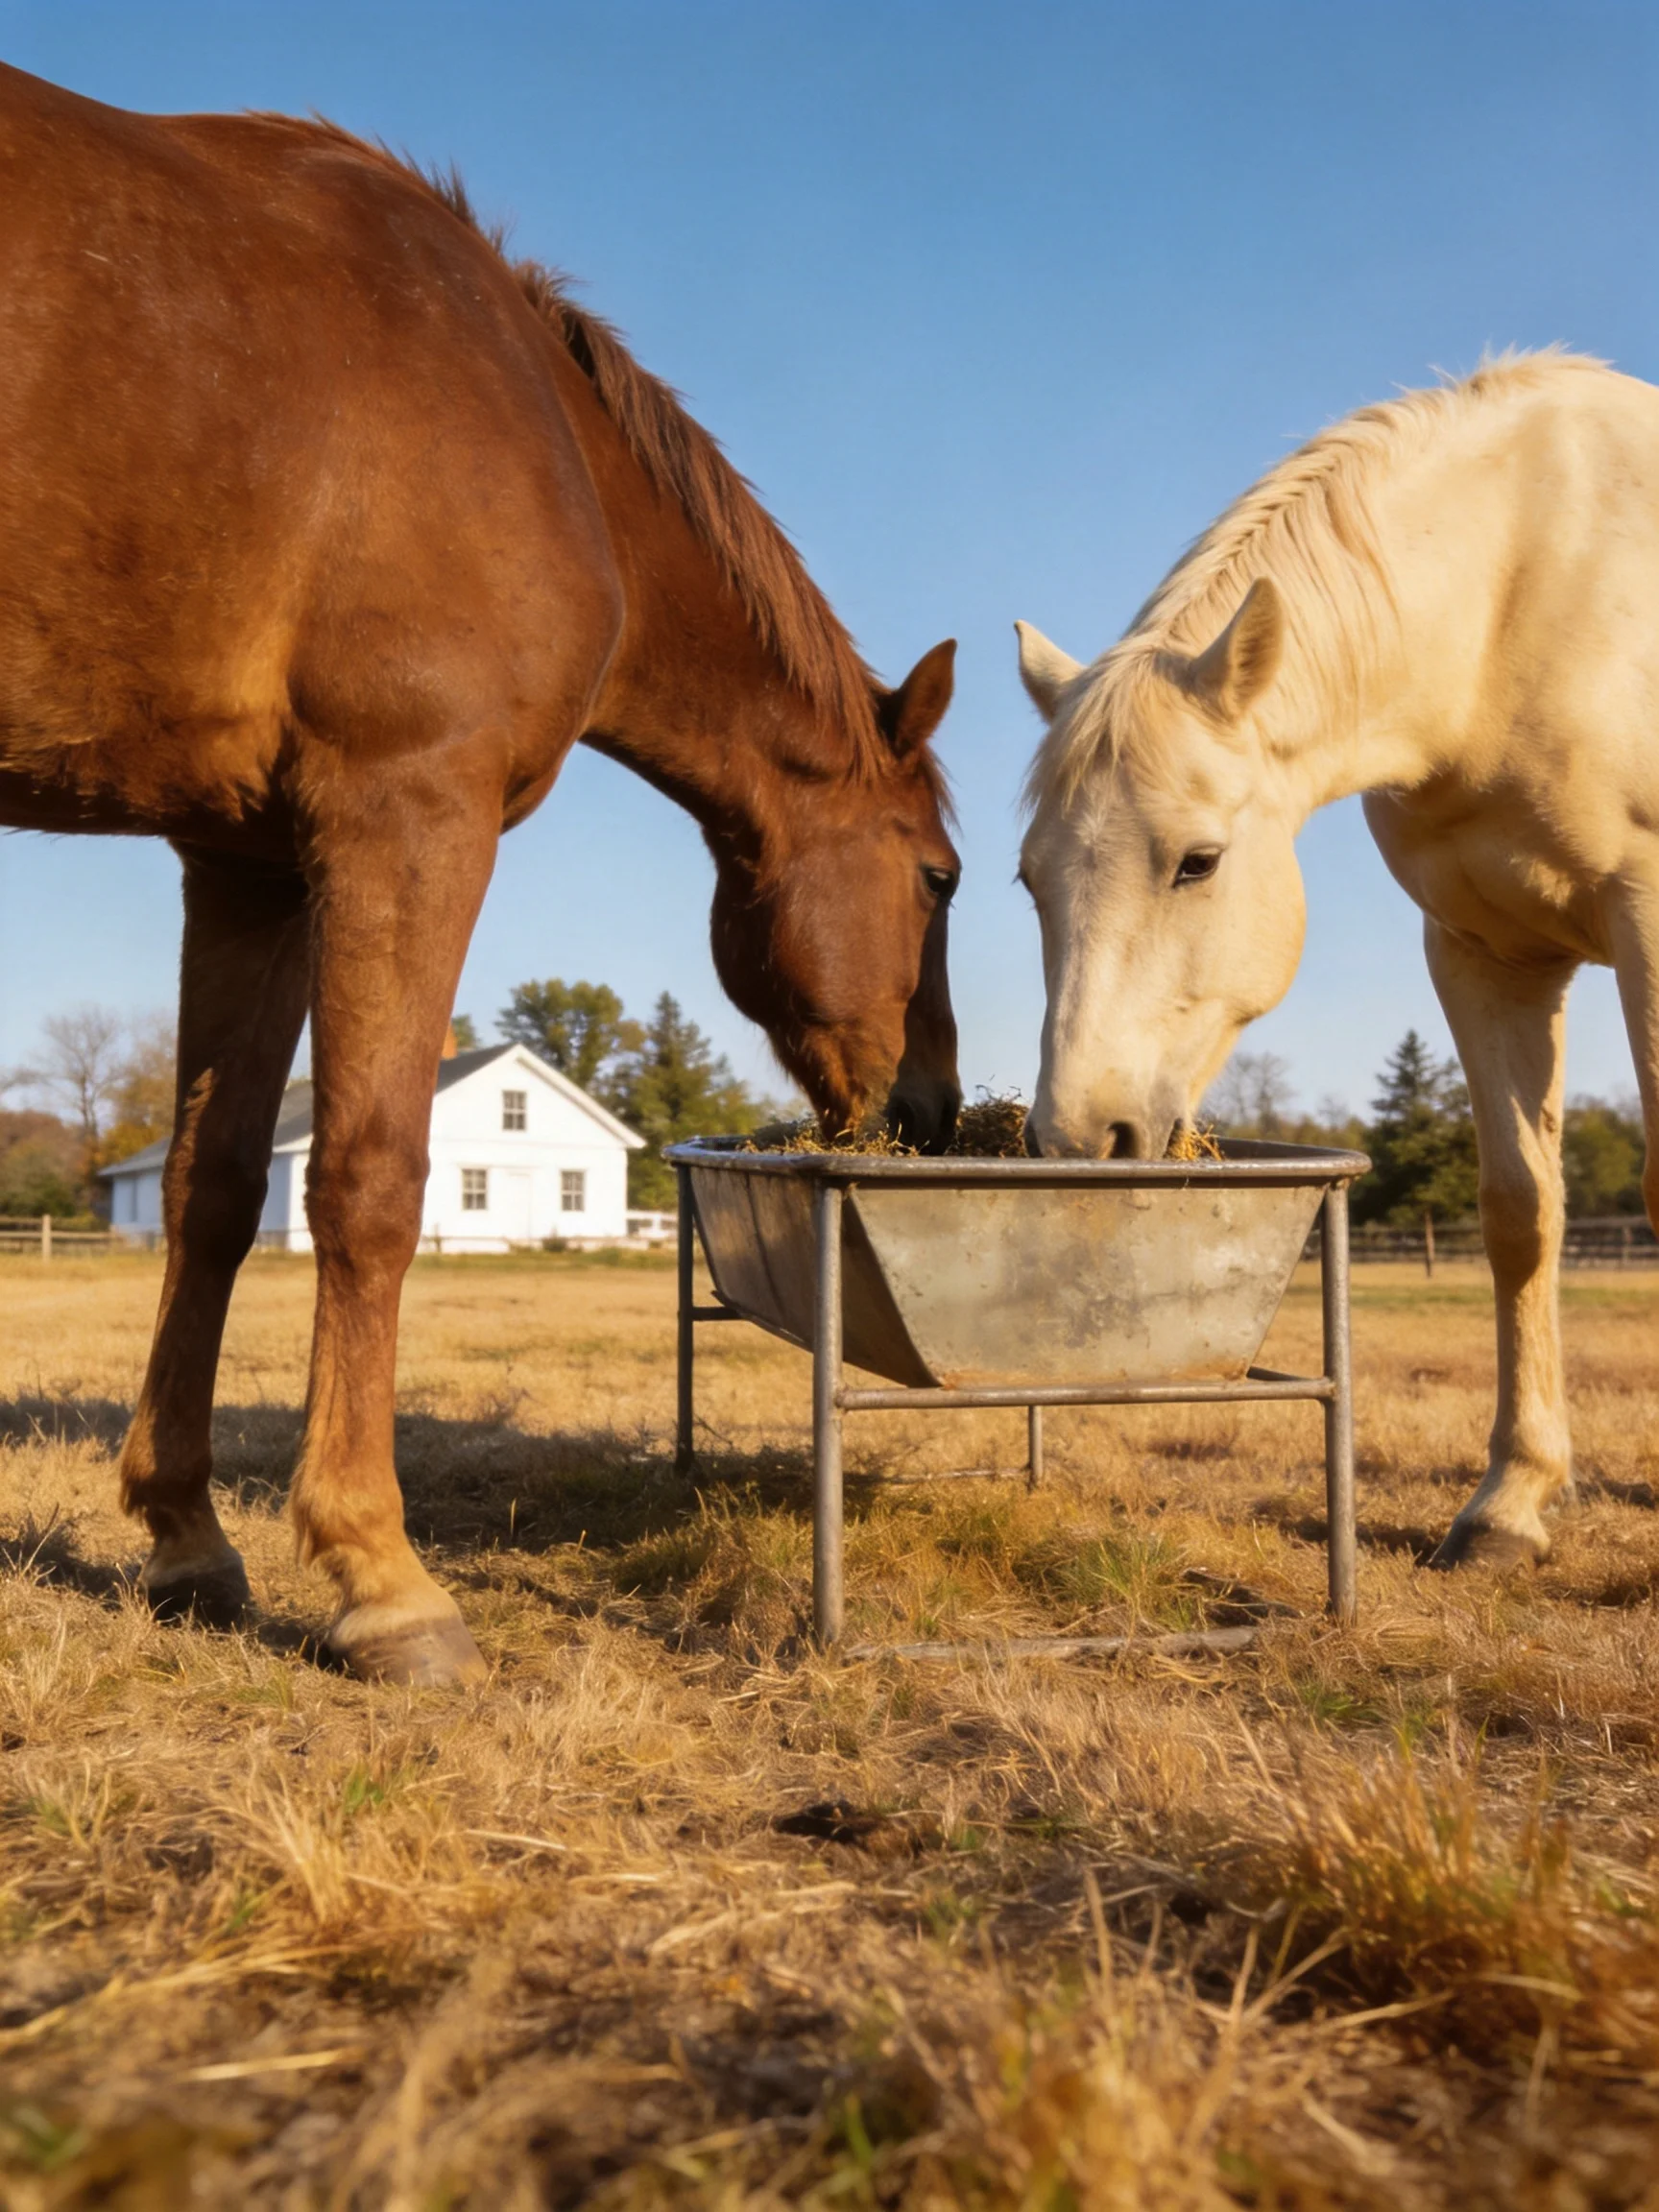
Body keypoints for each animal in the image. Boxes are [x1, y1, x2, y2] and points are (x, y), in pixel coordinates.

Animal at [0, 64, 962, 1685]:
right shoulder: (408, 811)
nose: (938, 1108)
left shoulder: (247, 865)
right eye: (944, 878)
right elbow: (371, 1178)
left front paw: (188, 1539)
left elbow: (213, 1190)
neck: (535, 421)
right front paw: (379, 1576)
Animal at [1013, 351, 1659, 1572]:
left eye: (1199, 861)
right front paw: (1509, 1504)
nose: (1079, 1138)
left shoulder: (1648, 924)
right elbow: (1521, 1213)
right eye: (1029, 879)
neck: (1524, 594)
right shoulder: (1483, 953)